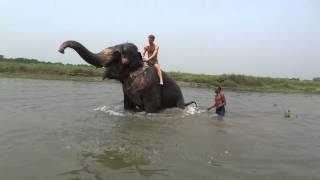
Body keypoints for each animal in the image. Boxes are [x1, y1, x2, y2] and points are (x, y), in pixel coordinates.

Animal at [58, 40, 196, 112]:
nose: (61, 50)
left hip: (178, 99)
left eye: (116, 54)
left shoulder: (151, 84)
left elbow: (153, 106)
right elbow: (127, 105)